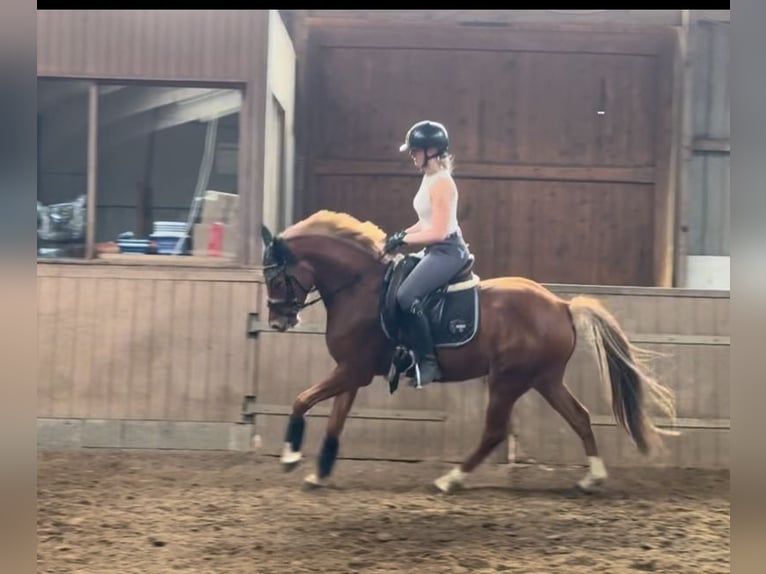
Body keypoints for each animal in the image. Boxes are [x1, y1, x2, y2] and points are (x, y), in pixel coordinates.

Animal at [260, 212, 680, 496]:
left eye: (276, 277)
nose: (278, 322)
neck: (360, 289)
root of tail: (561, 305)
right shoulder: (352, 372)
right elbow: (334, 422)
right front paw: (318, 473)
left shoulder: (352, 370)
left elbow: (301, 400)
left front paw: (290, 457)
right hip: (544, 379)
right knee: (579, 417)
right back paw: (592, 477)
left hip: (508, 379)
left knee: (494, 431)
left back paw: (450, 479)